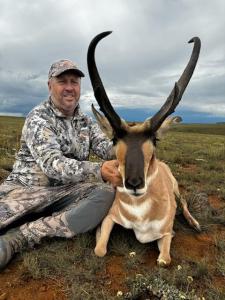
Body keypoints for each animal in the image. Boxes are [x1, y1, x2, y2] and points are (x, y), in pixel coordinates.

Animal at [87, 31, 201, 266]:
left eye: (155, 140)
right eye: (114, 139)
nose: (134, 183)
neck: (139, 213)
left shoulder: (165, 234)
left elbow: (164, 260)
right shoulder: (110, 217)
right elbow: (99, 249)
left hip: (176, 188)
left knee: (184, 200)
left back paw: (195, 224)